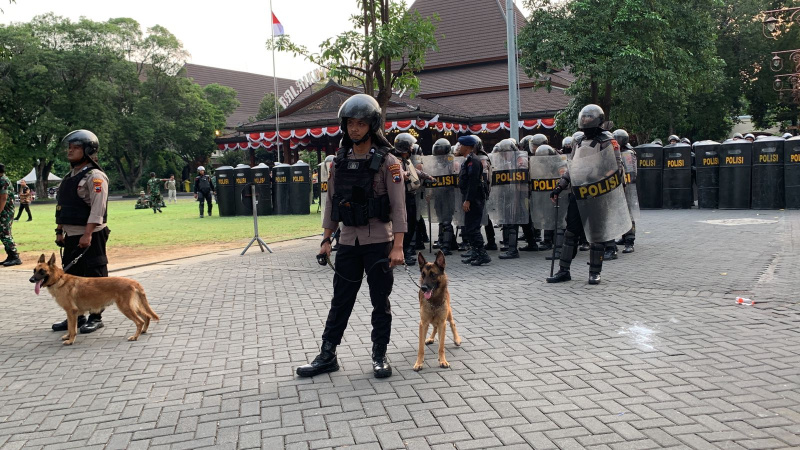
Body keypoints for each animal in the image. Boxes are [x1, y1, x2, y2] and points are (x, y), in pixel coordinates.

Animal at [30, 253, 158, 344]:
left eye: (42, 271)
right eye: (34, 270)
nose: (31, 280)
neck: (59, 279)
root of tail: (133, 282)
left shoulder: (71, 311)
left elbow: (72, 328)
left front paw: (71, 340)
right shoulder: (70, 313)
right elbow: (70, 327)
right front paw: (68, 336)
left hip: (126, 308)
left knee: (140, 321)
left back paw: (135, 336)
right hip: (133, 307)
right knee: (146, 317)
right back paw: (143, 331)